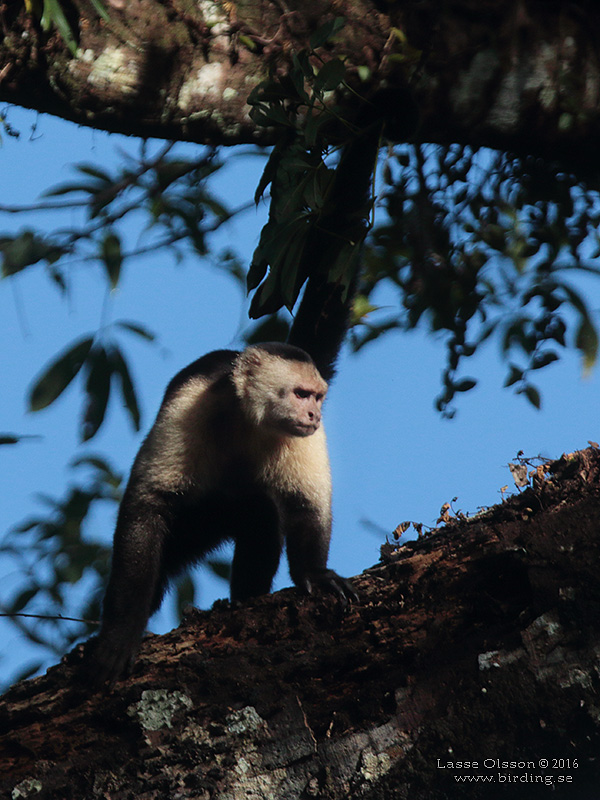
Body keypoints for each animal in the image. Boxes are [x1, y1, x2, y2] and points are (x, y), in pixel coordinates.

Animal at [91, 340, 354, 684]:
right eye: (300, 394)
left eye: (318, 397)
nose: (315, 415)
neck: (250, 420)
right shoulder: (189, 405)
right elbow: (149, 502)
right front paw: (121, 632)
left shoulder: (303, 437)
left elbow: (308, 506)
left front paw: (315, 575)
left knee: (260, 514)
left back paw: (243, 600)